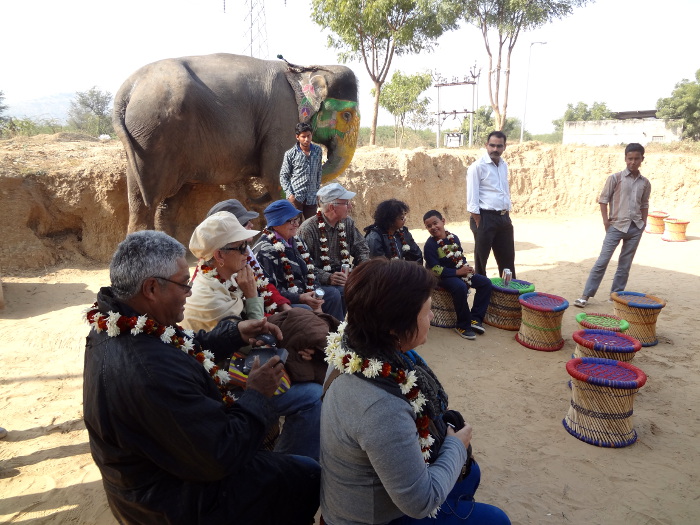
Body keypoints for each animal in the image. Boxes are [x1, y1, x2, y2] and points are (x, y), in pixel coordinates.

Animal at [113, 54, 360, 232]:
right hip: (151, 135)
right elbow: (275, 175)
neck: (305, 71)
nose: (249, 199)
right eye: (347, 115)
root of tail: (126, 89)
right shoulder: (282, 117)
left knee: (165, 198)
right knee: (148, 197)